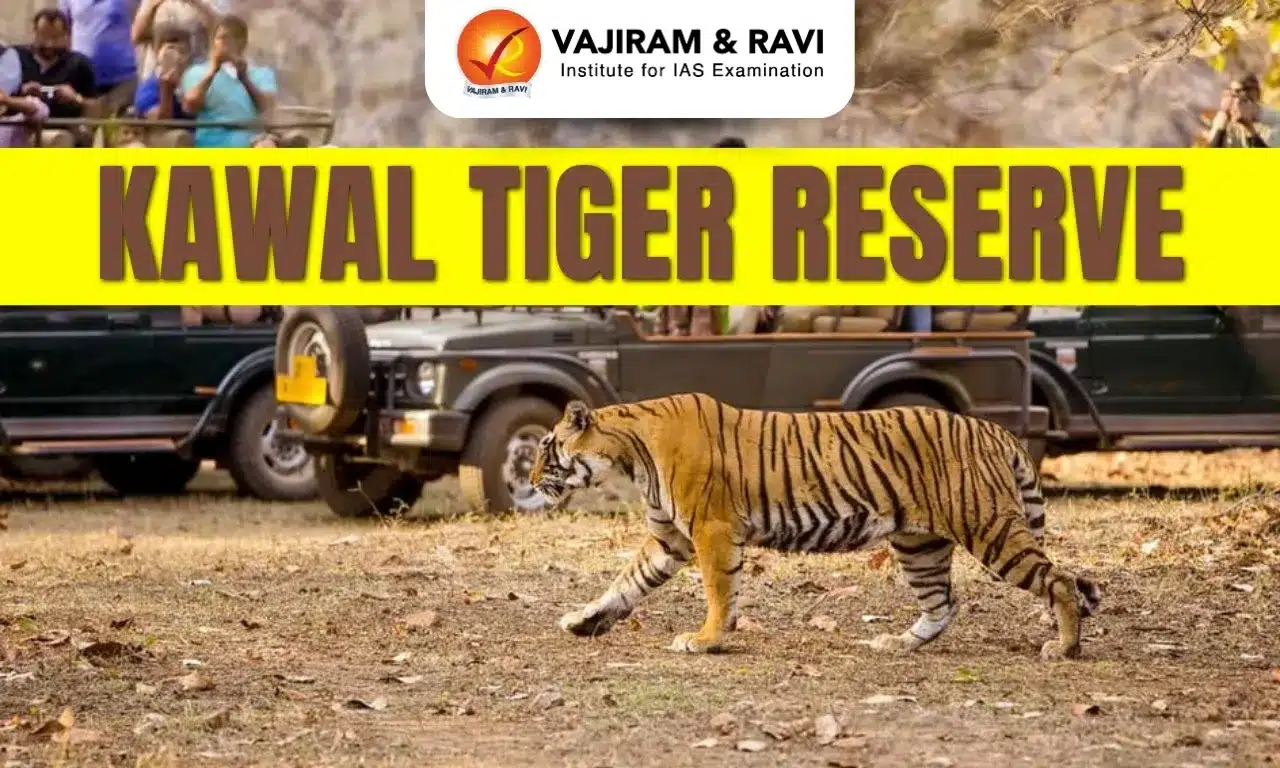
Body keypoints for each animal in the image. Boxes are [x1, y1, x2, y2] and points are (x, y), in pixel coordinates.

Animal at [529, 392, 1101, 660]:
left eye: (547, 448)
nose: (531, 481)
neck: (629, 453)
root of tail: (994, 429)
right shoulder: (669, 538)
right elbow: (625, 582)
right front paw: (583, 620)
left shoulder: (710, 530)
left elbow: (718, 591)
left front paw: (706, 639)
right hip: (920, 544)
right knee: (943, 603)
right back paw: (896, 644)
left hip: (988, 527)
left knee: (1059, 580)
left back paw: (1064, 648)